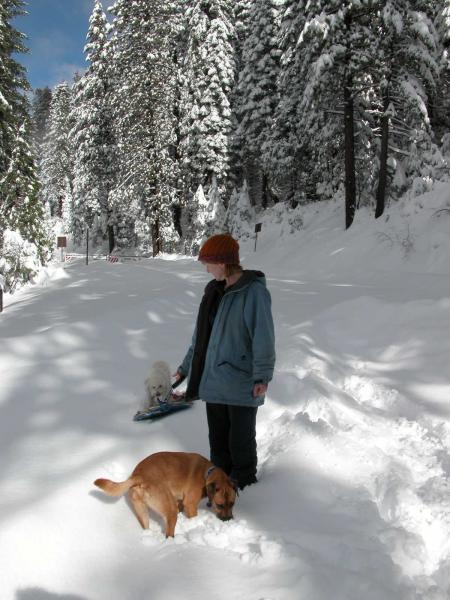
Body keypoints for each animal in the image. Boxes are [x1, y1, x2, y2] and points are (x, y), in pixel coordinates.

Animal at [93, 450, 237, 540]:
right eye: (220, 505)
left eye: (232, 504)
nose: (228, 519)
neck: (206, 474)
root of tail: (139, 476)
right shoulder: (190, 504)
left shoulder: (180, 502)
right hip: (169, 508)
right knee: (168, 534)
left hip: (142, 511)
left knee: (147, 527)